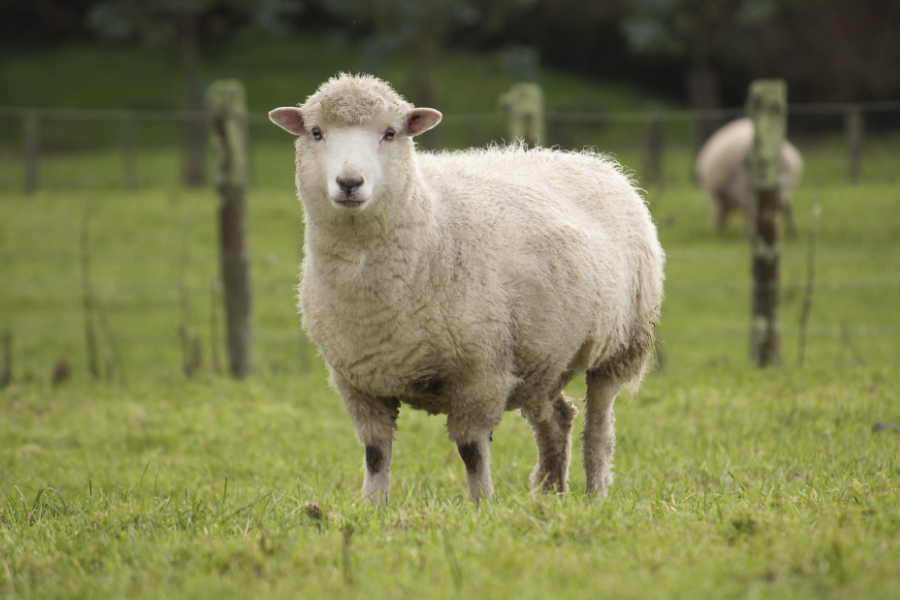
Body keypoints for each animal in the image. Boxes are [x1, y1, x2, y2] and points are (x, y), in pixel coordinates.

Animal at [270, 76, 664, 506]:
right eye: (316, 132)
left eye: (390, 133)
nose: (349, 183)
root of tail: (594, 161)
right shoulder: (357, 382)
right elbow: (375, 453)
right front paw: (374, 507)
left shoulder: (481, 375)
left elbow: (472, 451)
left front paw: (482, 506)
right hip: (540, 356)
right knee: (557, 419)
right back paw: (549, 495)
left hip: (620, 346)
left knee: (598, 429)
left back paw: (594, 495)